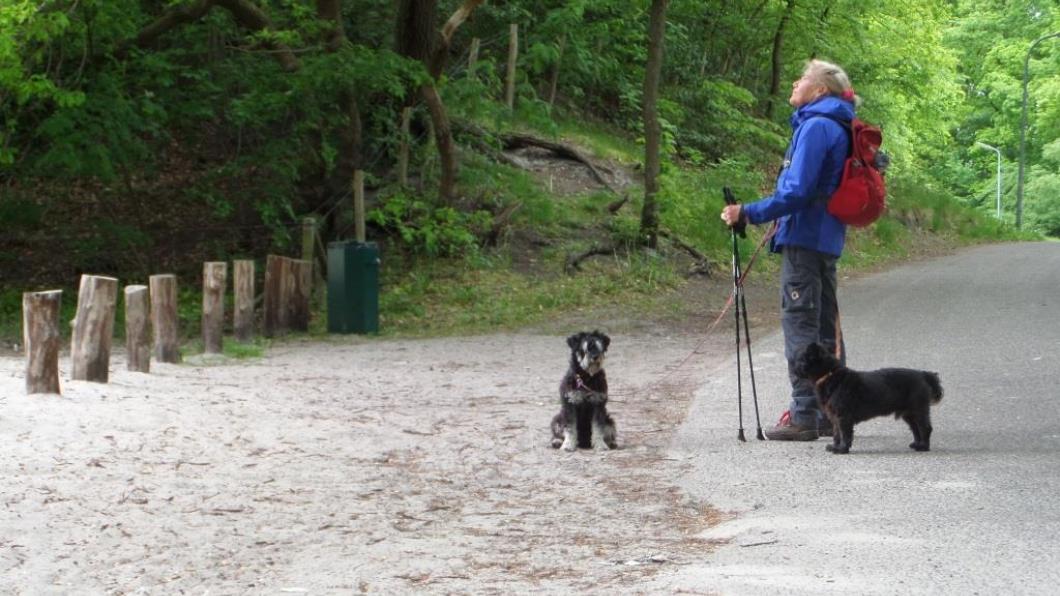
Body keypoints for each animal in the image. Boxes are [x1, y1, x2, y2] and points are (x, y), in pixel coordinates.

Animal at [797, 341, 945, 451]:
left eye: (802, 360)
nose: (794, 367)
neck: (830, 375)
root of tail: (923, 375)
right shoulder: (834, 417)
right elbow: (836, 434)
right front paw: (835, 447)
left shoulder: (843, 416)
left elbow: (845, 434)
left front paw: (842, 449)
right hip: (908, 413)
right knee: (915, 429)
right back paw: (917, 444)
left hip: (918, 410)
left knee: (925, 428)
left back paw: (924, 447)